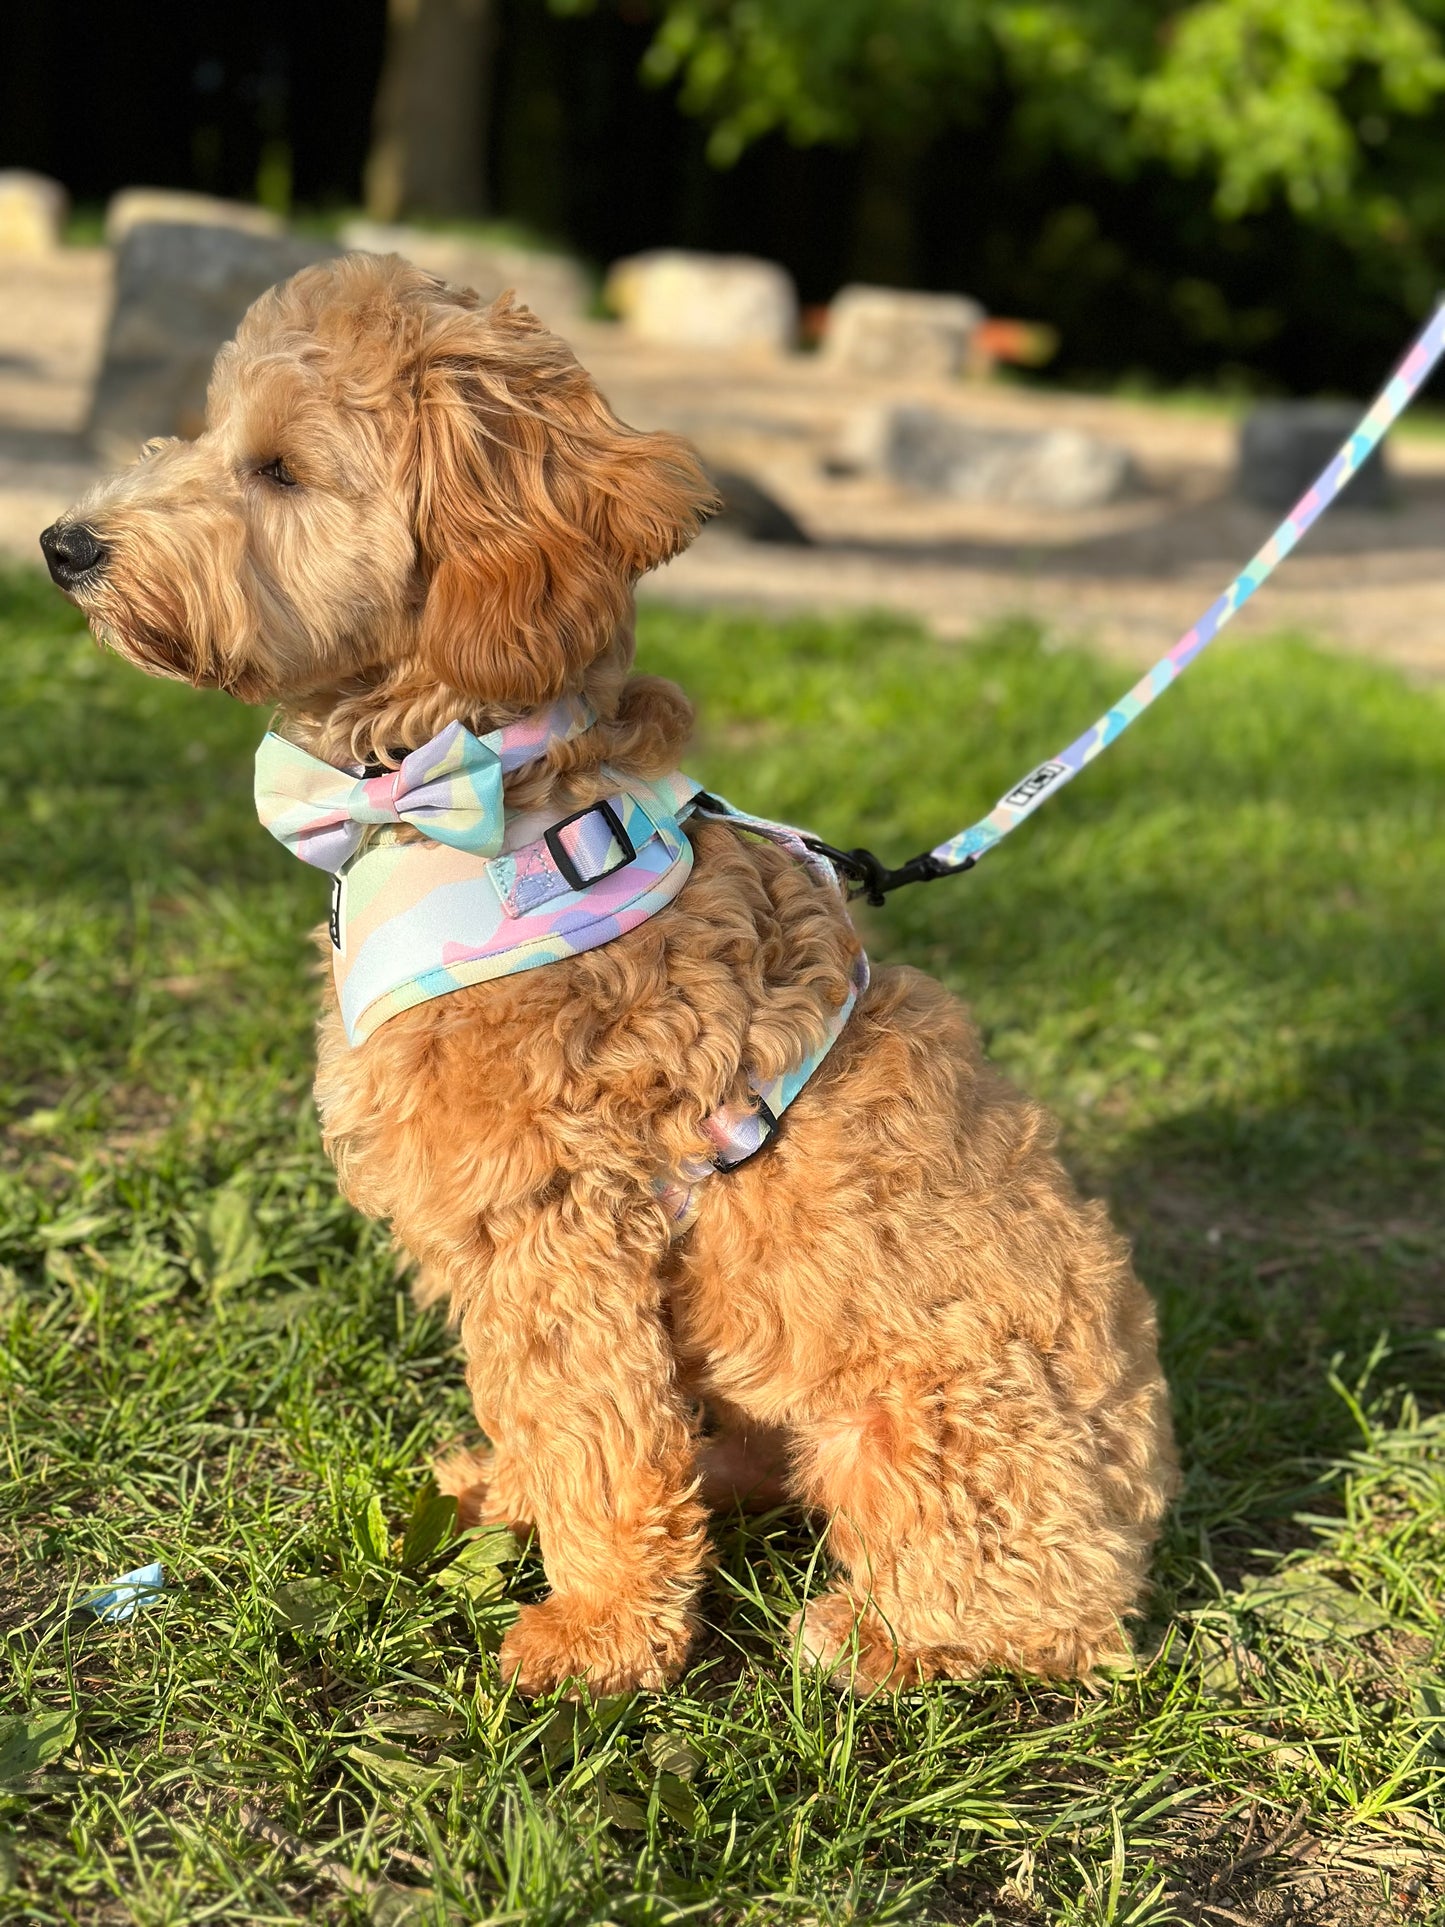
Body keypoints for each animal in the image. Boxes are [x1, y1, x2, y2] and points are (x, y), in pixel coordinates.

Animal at [42, 248, 1179, 1695]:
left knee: (1038, 1618)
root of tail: (1143, 1508)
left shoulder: (555, 1220)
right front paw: (506, 1497)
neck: (469, 787)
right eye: (203, 429)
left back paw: (879, 1634)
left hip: (933, 1422)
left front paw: (594, 1634)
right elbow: (534, 1409)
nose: (62, 545)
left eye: (282, 469)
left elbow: (591, 1428)